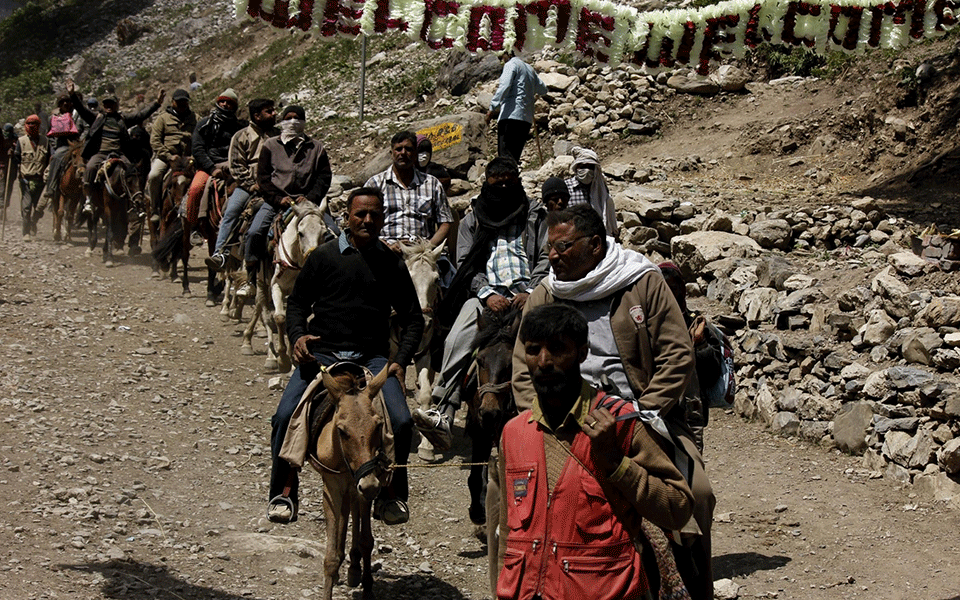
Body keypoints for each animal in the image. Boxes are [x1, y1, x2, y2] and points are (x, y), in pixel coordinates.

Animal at [242, 202, 332, 370]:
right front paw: (283, 359)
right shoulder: (276, 286)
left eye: (324, 233)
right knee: (264, 312)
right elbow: (279, 317)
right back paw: (267, 355)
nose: (313, 259)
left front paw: (294, 357)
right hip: (261, 281)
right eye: (300, 233)